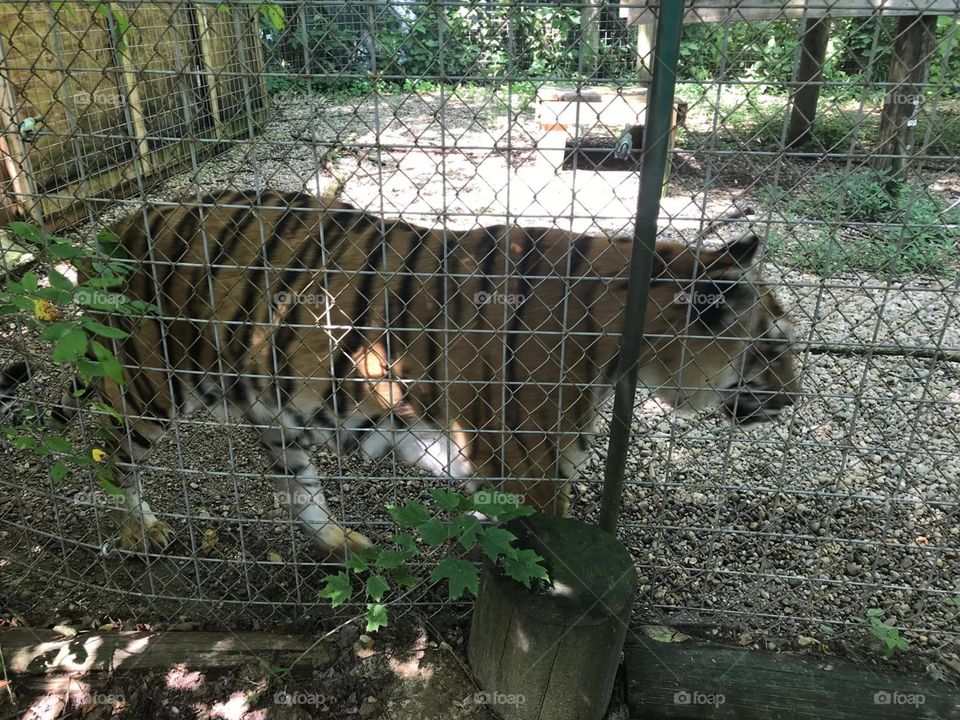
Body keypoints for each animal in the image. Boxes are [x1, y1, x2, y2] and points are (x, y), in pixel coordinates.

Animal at [0, 189, 799, 560]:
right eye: (774, 344)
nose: (792, 399)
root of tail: (115, 227)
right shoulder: (528, 461)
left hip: (271, 403)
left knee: (294, 484)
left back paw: (340, 543)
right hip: (146, 384)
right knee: (107, 453)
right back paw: (144, 529)